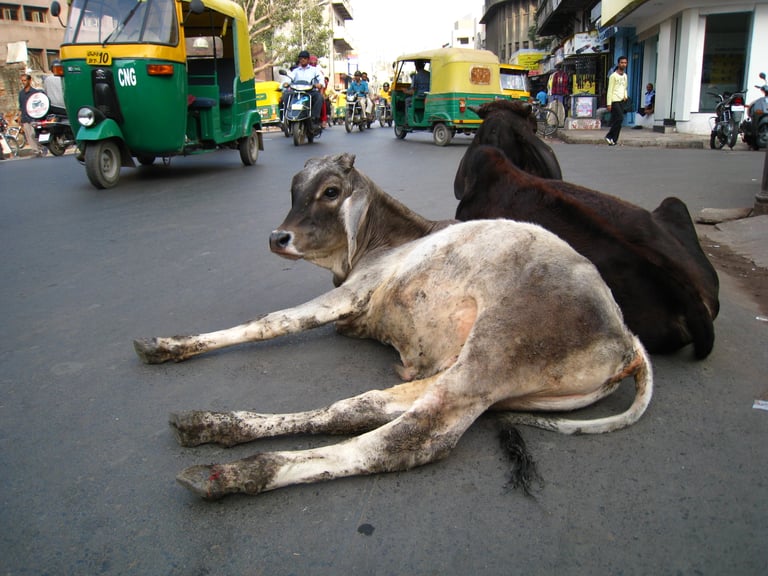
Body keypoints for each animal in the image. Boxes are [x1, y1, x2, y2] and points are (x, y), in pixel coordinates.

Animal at [134, 153, 656, 500]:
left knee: (406, 440)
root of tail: (626, 337)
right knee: (358, 408)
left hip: (493, 357)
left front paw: (173, 343)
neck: (383, 240)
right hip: (473, 377)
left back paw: (235, 473)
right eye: (293, 189)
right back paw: (211, 424)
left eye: (330, 191)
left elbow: (271, 322)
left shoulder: (351, 294)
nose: (278, 237)